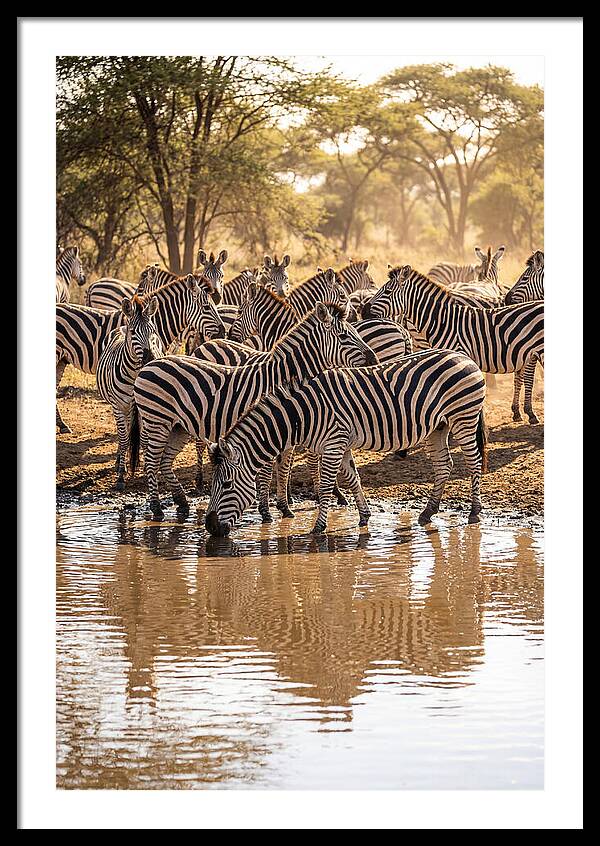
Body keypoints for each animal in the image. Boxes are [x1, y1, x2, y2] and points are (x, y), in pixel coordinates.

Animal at [96, 295, 164, 490]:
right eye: (134, 332)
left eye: (153, 331)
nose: (151, 359)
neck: (135, 375)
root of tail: (121, 327)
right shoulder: (118, 406)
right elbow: (124, 438)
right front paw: (120, 476)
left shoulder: (147, 409)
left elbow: (145, 440)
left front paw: (149, 470)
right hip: (119, 407)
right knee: (123, 434)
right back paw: (120, 461)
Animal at [129, 302, 378, 521]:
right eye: (344, 336)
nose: (374, 358)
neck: (282, 378)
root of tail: (148, 365)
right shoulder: (269, 427)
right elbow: (267, 472)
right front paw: (266, 512)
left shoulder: (287, 430)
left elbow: (284, 468)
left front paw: (285, 508)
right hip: (157, 421)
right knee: (151, 462)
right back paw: (157, 509)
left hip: (178, 427)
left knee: (164, 462)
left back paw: (181, 503)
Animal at [204, 348, 488, 536]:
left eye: (226, 484)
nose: (210, 527)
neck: (304, 413)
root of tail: (464, 357)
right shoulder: (340, 445)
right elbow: (353, 479)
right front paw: (364, 516)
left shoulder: (334, 443)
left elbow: (326, 488)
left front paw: (318, 528)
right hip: (437, 427)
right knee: (444, 466)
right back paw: (428, 512)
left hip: (463, 417)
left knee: (474, 462)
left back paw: (474, 511)